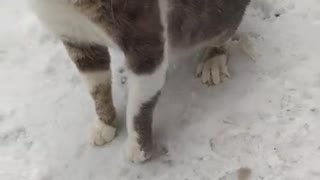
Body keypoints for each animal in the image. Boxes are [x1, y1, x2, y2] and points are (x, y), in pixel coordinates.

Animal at [29, 0, 250, 163]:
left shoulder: (145, 42)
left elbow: (137, 106)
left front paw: (138, 147)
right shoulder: (77, 39)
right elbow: (97, 88)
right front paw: (104, 123)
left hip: (212, 20)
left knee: (222, 29)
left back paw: (213, 59)